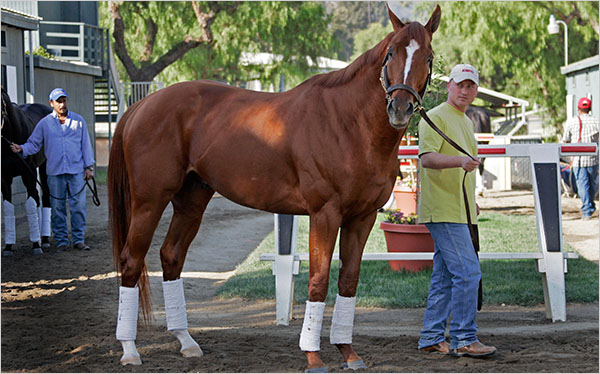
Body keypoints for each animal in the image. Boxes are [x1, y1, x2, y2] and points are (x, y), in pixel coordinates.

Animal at [1, 87, 52, 256]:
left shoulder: (27, 173)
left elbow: (30, 204)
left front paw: (36, 245)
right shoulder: (5, 177)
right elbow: (8, 207)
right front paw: (8, 247)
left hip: (44, 168)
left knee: (45, 197)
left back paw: (45, 240)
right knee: (37, 198)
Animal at [109, 5, 440, 372]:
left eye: (428, 56)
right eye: (391, 52)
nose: (400, 108)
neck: (348, 125)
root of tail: (143, 105)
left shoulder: (363, 216)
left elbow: (349, 280)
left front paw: (348, 352)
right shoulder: (325, 214)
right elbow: (318, 281)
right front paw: (313, 355)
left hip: (191, 201)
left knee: (171, 256)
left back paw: (186, 342)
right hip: (149, 202)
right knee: (131, 261)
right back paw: (129, 350)